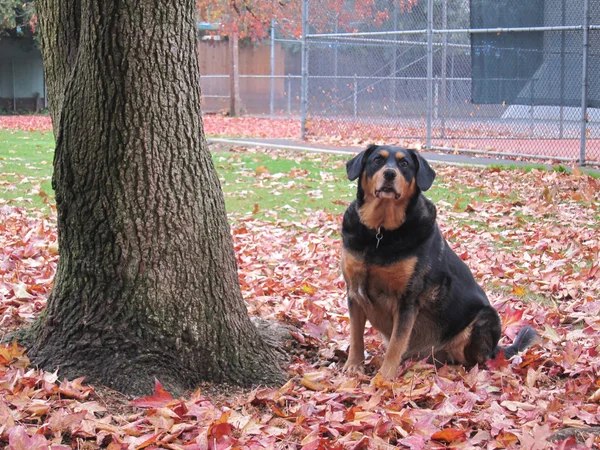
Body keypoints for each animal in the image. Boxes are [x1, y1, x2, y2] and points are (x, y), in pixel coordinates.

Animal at [338, 146, 540, 378]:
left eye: (404, 164)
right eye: (377, 160)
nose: (389, 173)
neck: (381, 233)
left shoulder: (407, 300)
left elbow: (396, 345)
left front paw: (384, 377)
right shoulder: (354, 292)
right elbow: (356, 336)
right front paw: (354, 366)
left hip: (486, 318)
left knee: (476, 360)